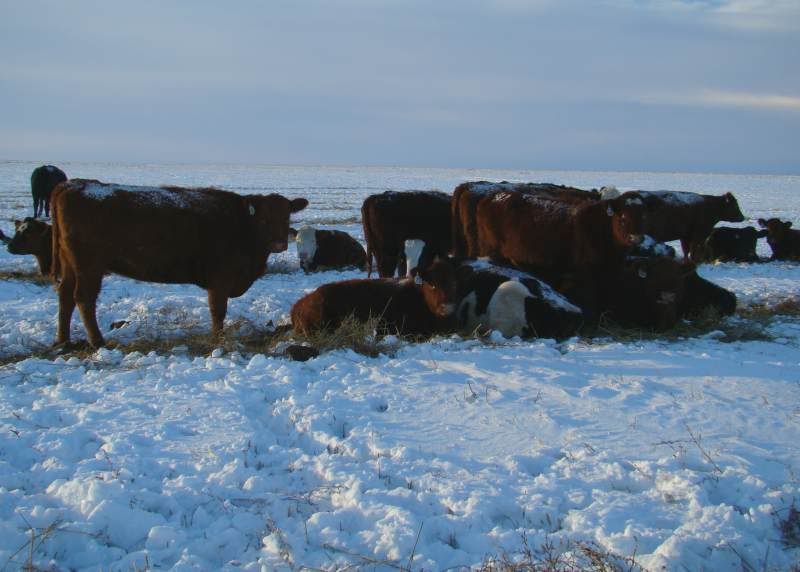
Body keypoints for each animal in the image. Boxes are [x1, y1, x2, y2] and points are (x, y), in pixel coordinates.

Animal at [50, 179, 308, 347]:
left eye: (287, 216)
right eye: (264, 219)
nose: (279, 244)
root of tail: (72, 184)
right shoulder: (220, 279)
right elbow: (218, 311)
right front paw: (218, 339)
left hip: (70, 264)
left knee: (65, 296)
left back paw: (63, 340)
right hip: (89, 266)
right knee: (83, 298)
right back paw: (97, 341)